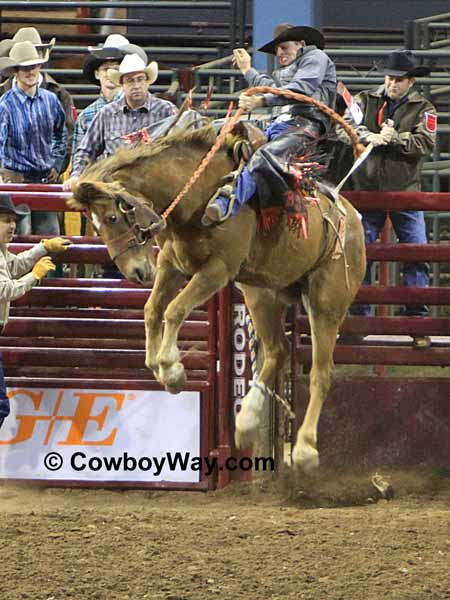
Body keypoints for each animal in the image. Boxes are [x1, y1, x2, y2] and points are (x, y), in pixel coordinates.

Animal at [68, 88, 368, 474]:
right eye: (95, 224)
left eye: (111, 217)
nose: (134, 272)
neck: (196, 195)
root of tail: (352, 219)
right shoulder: (170, 262)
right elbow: (152, 310)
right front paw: (158, 368)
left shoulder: (217, 270)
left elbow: (175, 310)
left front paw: (172, 369)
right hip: (260, 293)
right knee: (277, 350)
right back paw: (247, 421)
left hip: (327, 301)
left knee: (321, 371)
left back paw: (303, 450)